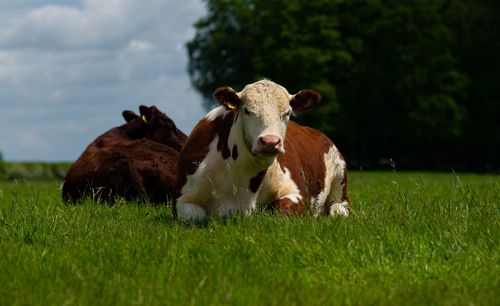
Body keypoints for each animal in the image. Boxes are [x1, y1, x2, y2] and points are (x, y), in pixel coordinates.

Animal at [176, 79, 352, 220]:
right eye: (246, 110)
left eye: (287, 113)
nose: (270, 142)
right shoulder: (181, 199)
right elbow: (196, 216)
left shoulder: (297, 193)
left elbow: (280, 212)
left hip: (340, 178)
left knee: (339, 207)